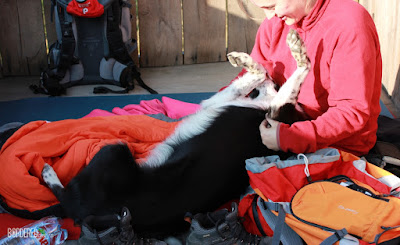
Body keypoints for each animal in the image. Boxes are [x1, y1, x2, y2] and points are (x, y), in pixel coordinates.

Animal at [41, 29, 310, 238]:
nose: (272, 82)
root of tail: (88, 215)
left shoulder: (228, 106)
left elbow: (272, 76)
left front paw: (273, 58)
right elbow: (264, 79)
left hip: (113, 152)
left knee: (65, 195)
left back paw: (48, 172)